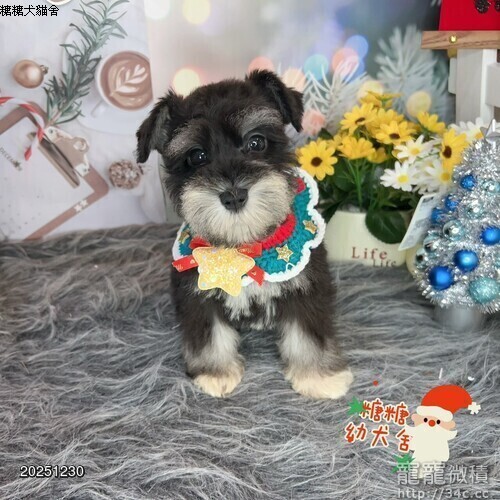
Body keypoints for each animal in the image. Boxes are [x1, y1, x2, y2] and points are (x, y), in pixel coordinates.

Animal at [136, 70, 352, 399]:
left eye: (256, 141)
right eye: (197, 156)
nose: (234, 196)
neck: (242, 246)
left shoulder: (306, 289)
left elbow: (308, 337)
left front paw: (319, 378)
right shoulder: (197, 295)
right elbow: (211, 337)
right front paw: (215, 374)